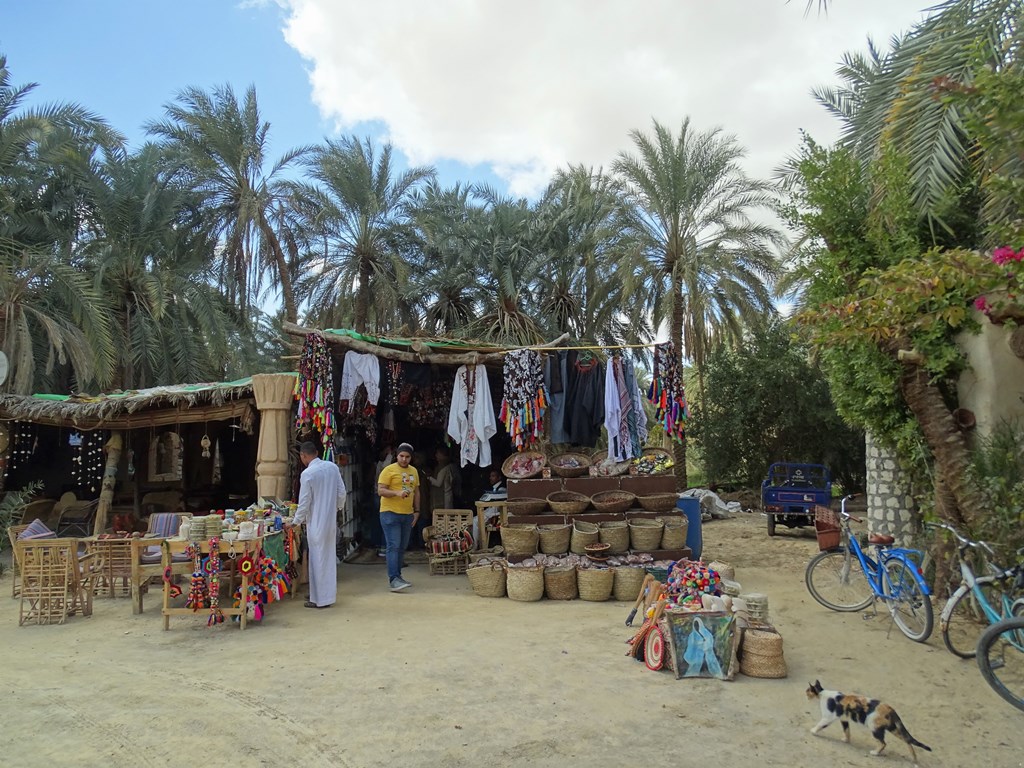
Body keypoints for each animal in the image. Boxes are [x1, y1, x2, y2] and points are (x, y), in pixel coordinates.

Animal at [802, 684, 933, 765]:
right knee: (907, 740)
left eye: (808, 691)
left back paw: (875, 753)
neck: (822, 695)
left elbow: (820, 725)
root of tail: (890, 709)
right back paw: (914, 759)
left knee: (883, 743)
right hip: (892, 728)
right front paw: (846, 740)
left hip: (875, 728)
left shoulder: (828, 717)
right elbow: (847, 730)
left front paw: (813, 731)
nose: (804, 694)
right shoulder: (844, 719)